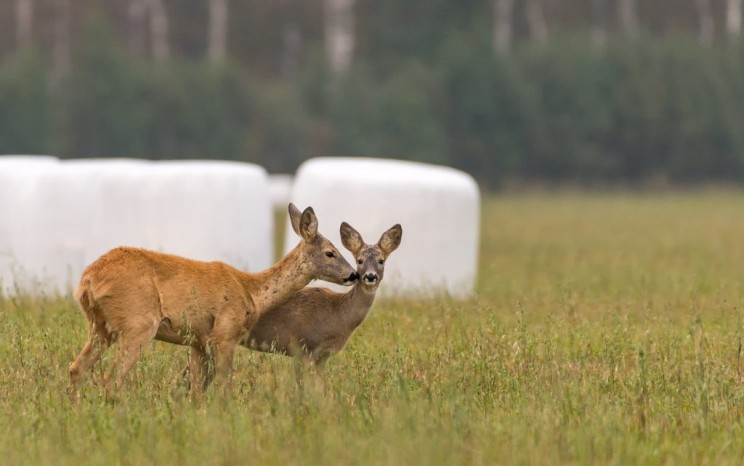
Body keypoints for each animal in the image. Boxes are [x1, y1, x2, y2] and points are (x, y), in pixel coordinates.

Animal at [68, 204, 358, 396]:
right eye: (330, 252)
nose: (353, 274)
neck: (251, 290)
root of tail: (88, 281)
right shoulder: (225, 334)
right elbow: (225, 387)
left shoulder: (198, 341)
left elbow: (197, 391)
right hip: (138, 322)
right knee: (111, 377)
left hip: (100, 326)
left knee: (76, 368)